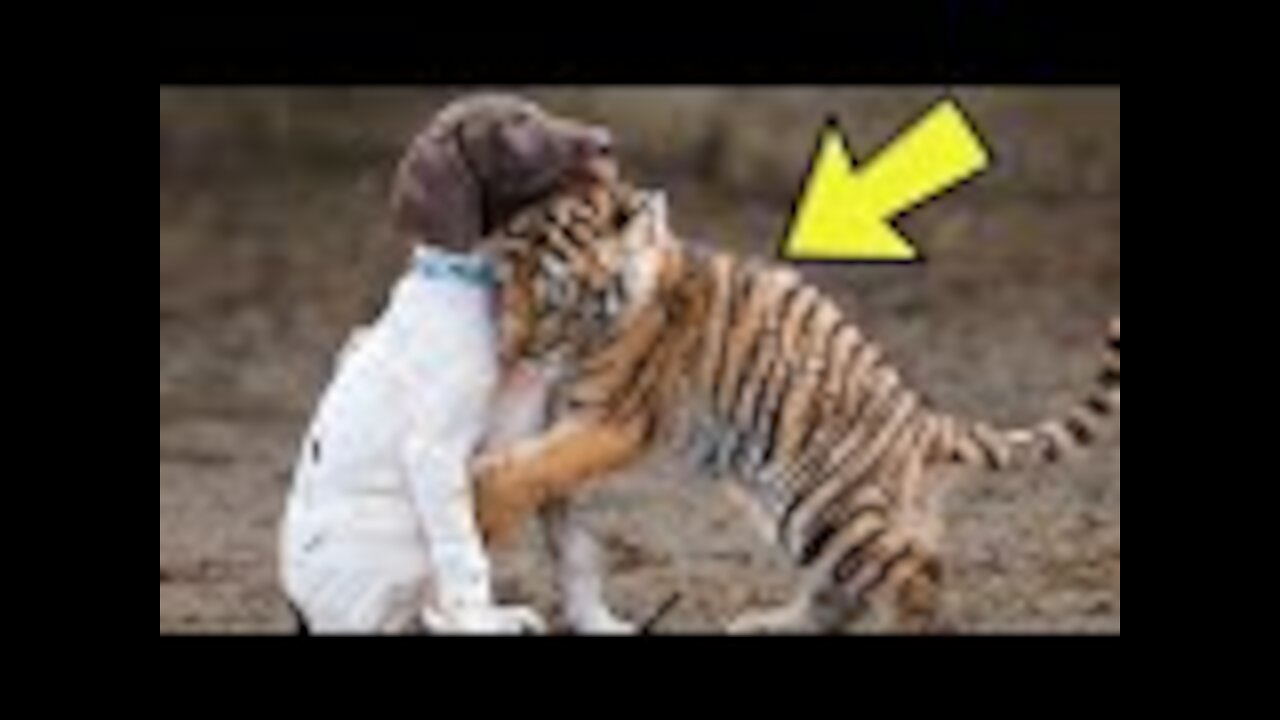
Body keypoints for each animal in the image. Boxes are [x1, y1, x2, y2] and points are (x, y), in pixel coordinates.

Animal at [474, 181, 1121, 634]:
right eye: (503, 287)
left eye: (550, 301)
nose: (510, 349)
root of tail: (921, 421)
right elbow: (540, 475)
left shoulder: (614, 419)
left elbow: (530, 469)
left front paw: (483, 505)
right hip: (796, 506)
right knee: (846, 586)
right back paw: (770, 624)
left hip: (822, 498)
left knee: (915, 566)